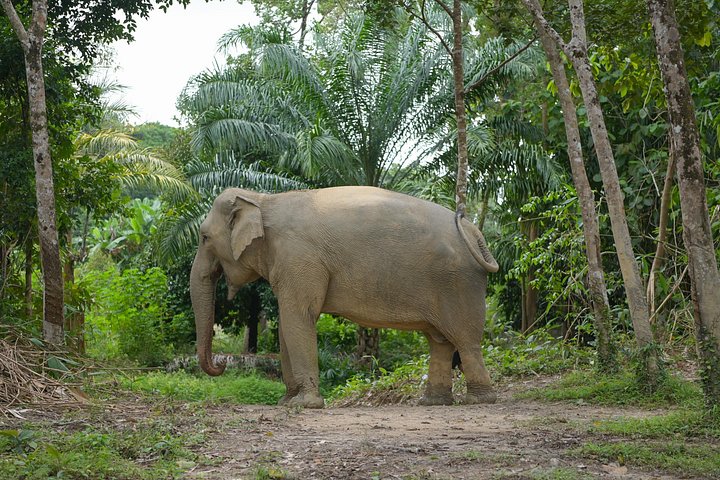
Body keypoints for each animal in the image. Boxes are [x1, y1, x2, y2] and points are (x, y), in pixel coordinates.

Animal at [191, 186, 499, 408]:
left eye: (204, 237)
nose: (221, 364)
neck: (262, 200)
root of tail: (473, 230)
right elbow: (287, 323)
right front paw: (286, 401)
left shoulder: (299, 258)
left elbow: (298, 317)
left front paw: (304, 405)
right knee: (440, 341)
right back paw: (433, 402)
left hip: (458, 283)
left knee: (465, 341)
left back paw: (478, 400)